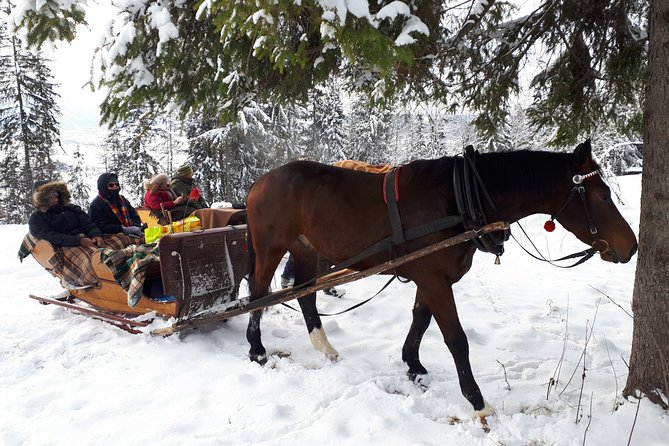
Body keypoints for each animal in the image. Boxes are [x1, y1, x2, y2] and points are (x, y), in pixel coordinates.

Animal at [244, 139, 637, 415]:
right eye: (603, 194)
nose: (631, 246)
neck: (460, 199)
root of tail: (260, 181)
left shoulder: (431, 277)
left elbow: (420, 320)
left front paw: (414, 367)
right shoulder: (433, 278)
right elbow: (456, 339)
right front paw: (477, 401)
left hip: (306, 249)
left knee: (304, 294)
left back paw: (323, 346)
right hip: (271, 248)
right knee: (259, 294)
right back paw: (257, 349)